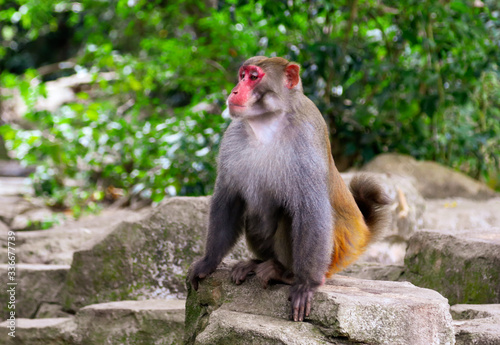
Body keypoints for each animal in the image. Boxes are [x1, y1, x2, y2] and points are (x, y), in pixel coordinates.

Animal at [189, 55, 388, 322]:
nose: (235, 91)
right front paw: (208, 261)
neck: (267, 123)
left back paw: (284, 272)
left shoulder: (306, 139)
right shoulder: (232, 137)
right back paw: (257, 263)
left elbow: (311, 210)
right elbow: (229, 199)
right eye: (242, 75)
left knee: (290, 213)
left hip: (334, 254)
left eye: (254, 77)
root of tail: (360, 232)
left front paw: (305, 285)